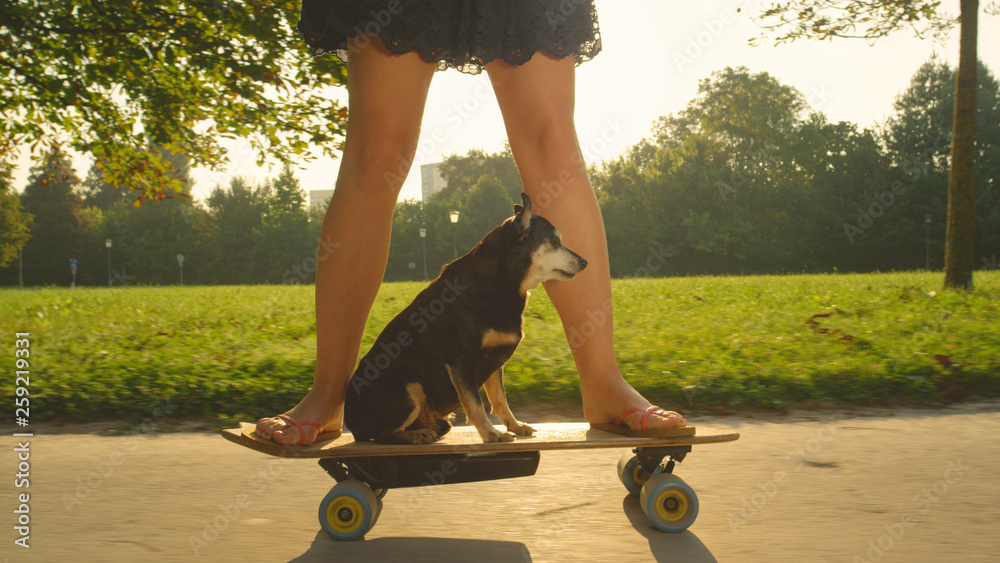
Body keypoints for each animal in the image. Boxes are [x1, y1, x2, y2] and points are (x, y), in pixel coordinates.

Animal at [348, 194, 588, 446]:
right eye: (555, 241)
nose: (584, 261)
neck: (500, 282)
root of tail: (351, 423)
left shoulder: (495, 362)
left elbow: (500, 400)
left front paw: (514, 426)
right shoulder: (461, 362)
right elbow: (475, 403)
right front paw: (491, 434)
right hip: (409, 389)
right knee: (382, 434)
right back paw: (416, 435)